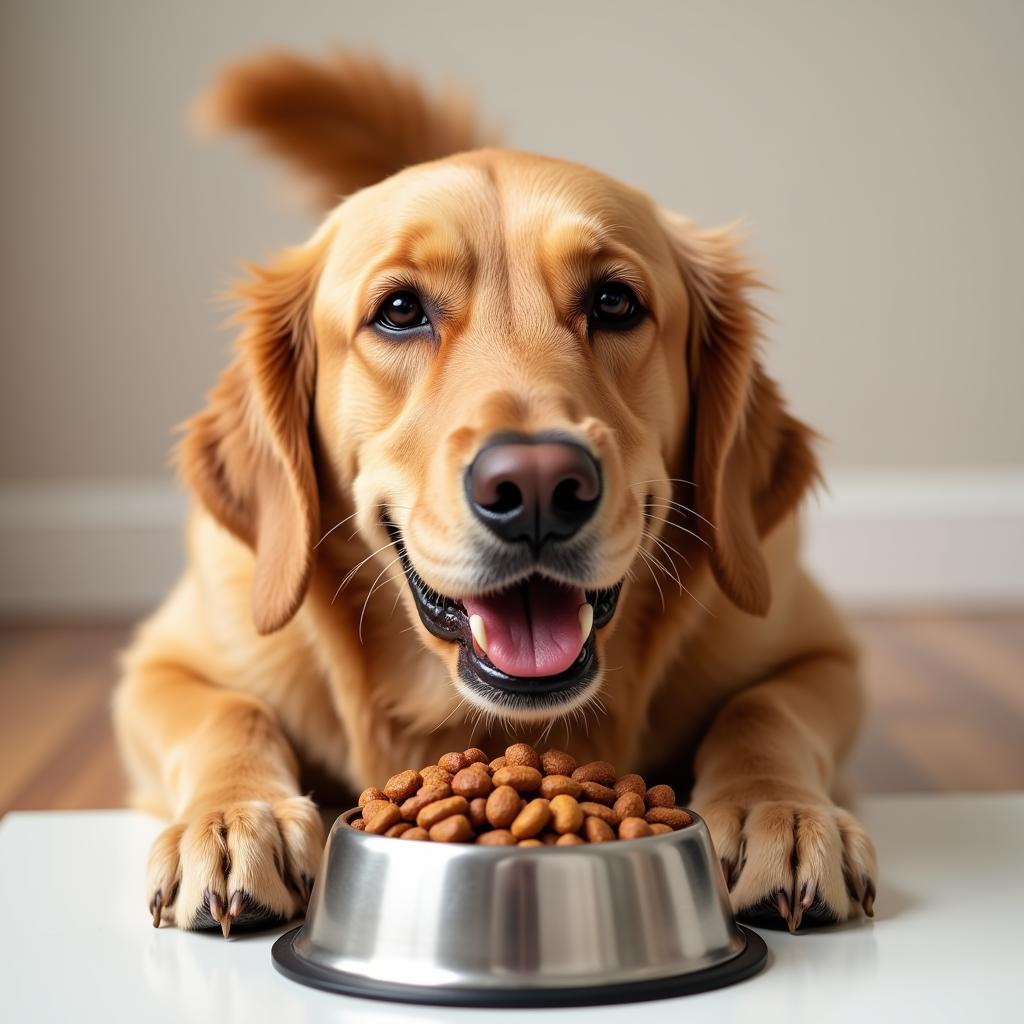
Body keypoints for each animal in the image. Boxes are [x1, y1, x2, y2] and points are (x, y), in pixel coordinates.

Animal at [116, 51, 876, 937]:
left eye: (615, 300)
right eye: (399, 310)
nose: (539, 487)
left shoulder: (820, 648)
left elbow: (764, 710)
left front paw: (776, 811)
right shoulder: (161, 662)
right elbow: (227, 712)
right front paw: (238, 816)